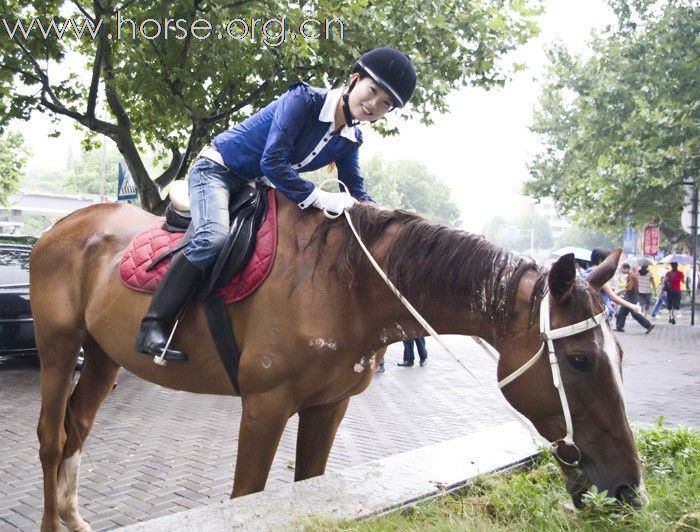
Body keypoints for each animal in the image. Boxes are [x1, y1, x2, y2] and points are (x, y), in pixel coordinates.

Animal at [30, 195, 644, 532]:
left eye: (620, 355)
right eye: (580, 360)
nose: (628, 491)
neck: (341, 284)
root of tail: (61, 227)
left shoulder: (329, 408)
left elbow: (306, 489)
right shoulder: (264, 408)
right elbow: (246, 497)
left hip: (103, 356)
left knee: (77, 428)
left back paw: (75, 517)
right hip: (58, 349)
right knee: (51, 438)